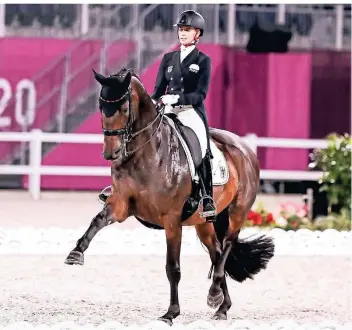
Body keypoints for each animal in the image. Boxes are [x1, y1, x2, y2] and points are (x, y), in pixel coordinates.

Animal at [65, 67, 276, 324]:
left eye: (124, 108)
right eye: (100, 106)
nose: (111, 153)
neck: (146, 153)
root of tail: (245, 148)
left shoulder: (172, 220)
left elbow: (172, 268)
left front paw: (171, 313)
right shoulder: (120, 205)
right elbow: (97, 221)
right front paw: (76, 253)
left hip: (238, 212)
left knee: (226, 246)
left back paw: (214, 295)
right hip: (204, 222)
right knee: (216, 253)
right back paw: (221, 305)